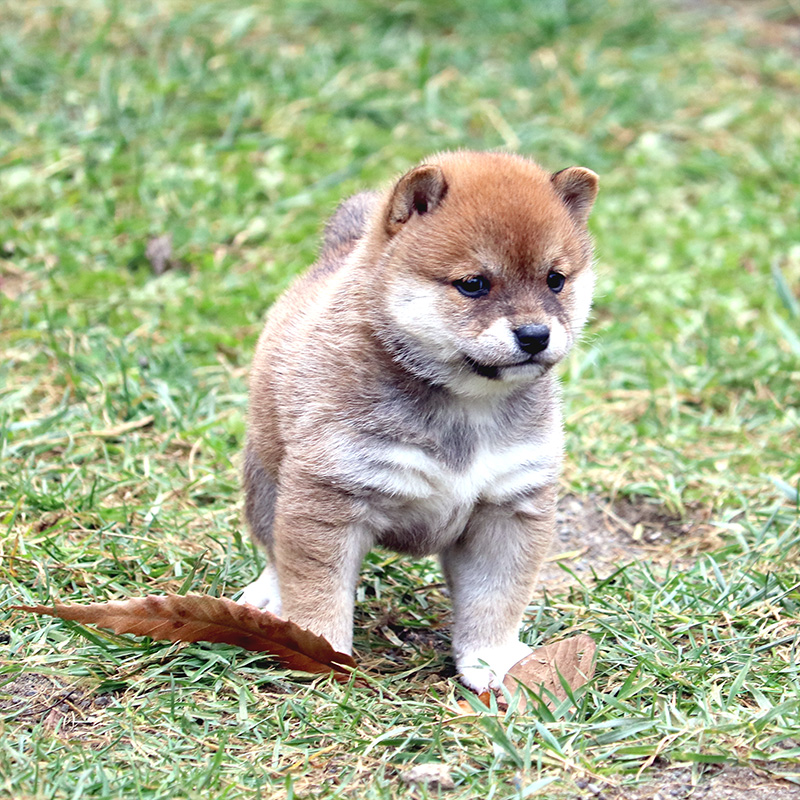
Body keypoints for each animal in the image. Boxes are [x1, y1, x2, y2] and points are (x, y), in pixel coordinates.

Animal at [234, 153, 596, 692]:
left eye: (555, 279)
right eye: (473, 284)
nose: (534, 334)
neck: (465, 406)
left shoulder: (509, 509)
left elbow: (496, 599)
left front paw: (492, 660)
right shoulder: (327, 499)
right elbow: (317, 591)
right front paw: (321, 655)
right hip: (266, 477)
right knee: (274, 552)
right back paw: (267, 598)